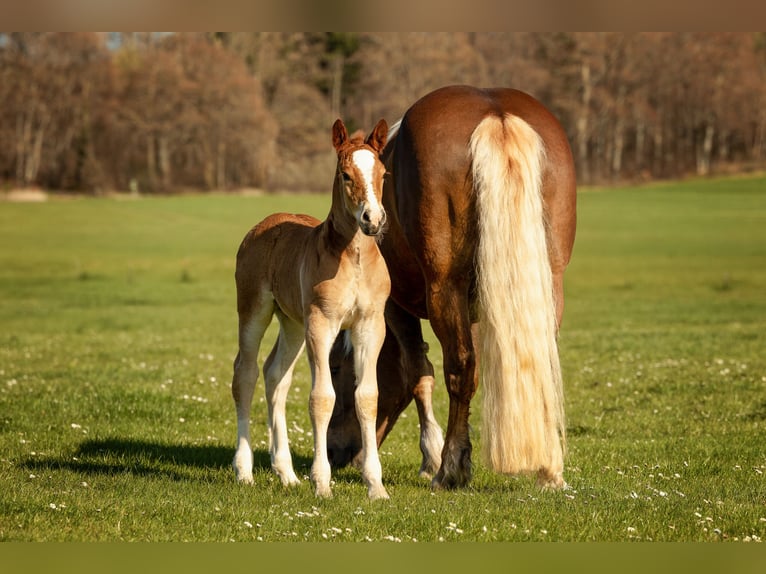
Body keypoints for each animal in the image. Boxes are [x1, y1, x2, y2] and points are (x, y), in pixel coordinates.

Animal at [231, 118, 391, 500]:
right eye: (346, 175)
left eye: (383, 173)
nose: (373, 219)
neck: (354, 258)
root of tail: (262, 225)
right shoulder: (322, 323)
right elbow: (322, 398)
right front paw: (321, 482)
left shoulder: (370, 325)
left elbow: (367, 397)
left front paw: (375, 485)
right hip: (255, 310)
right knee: (246, 373)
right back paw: (245, 470)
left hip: (292, 323)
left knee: (276, 375)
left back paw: (286, 473)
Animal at [326, 85, 577, 490]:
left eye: (336, 368)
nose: (335, 452)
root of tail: (496, 113)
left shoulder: (394, 306)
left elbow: (418, 371)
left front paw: (433, 456)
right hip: (549, 282)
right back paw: (549, 471)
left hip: (444, 287)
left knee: (459, 367)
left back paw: (449, 468)